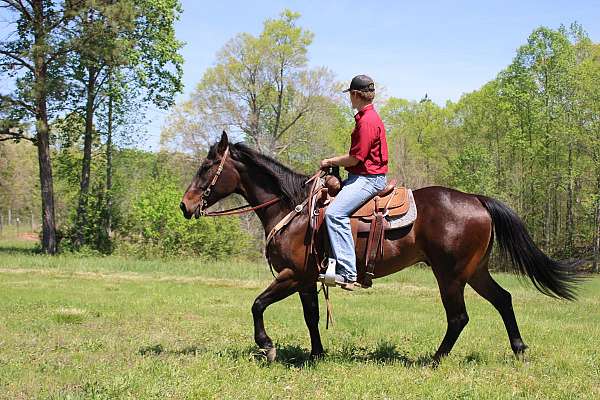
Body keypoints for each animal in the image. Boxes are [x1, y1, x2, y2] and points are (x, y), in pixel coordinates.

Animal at [179, 133, 580, 364]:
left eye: (208, 166)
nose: (185, 205)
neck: (293, 208)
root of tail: (477, 200)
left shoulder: (292, 275)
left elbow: (257, 304)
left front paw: (267, 346)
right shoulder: (306, 280)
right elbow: (311, 317)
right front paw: (316, 354)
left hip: (450, 275)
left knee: (459, 317)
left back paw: (435, 360)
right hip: (475, 271)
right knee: (503, 300)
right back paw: (519, 350)